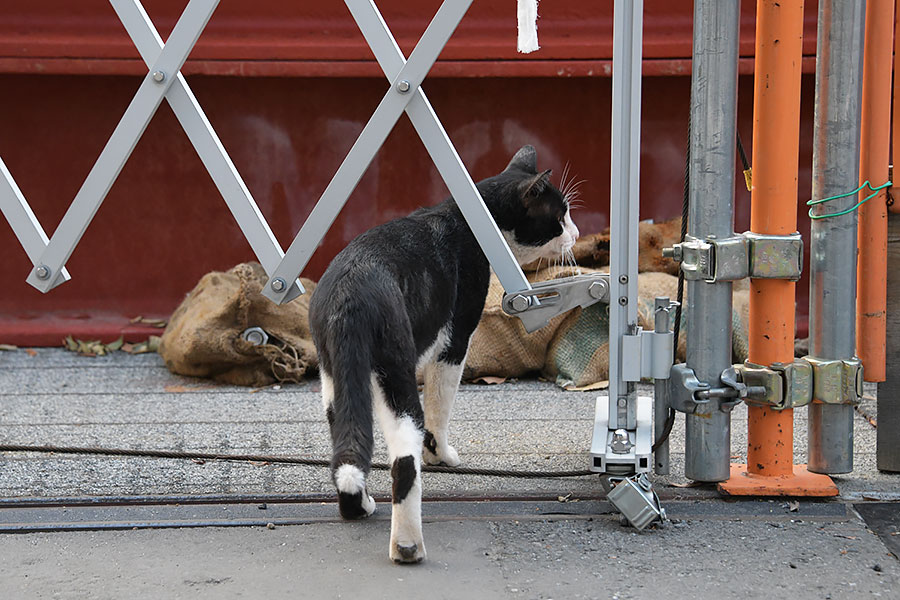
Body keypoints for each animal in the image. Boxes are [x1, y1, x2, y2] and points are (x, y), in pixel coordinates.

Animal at [308, 144, 576, 564]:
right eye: (560, 216)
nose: (576, 234)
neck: (472, 220)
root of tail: (350, 298)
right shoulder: (455, 343)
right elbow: (441, 409)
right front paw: (440, 456)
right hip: (396, 379)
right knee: (403, 462)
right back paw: (407, 546)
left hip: (337, 381)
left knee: (346, 451)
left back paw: (360, 506)